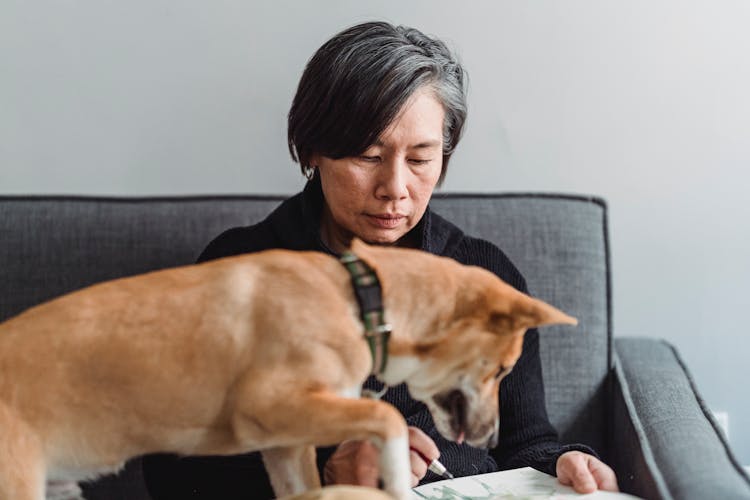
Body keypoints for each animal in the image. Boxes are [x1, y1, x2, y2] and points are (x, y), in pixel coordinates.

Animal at [0, 239, 580, 500]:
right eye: (502, 369)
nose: (494, 440)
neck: (360, 299)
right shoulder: (269, 403)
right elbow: (390, 420)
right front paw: (397, 478)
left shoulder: (285, 443)